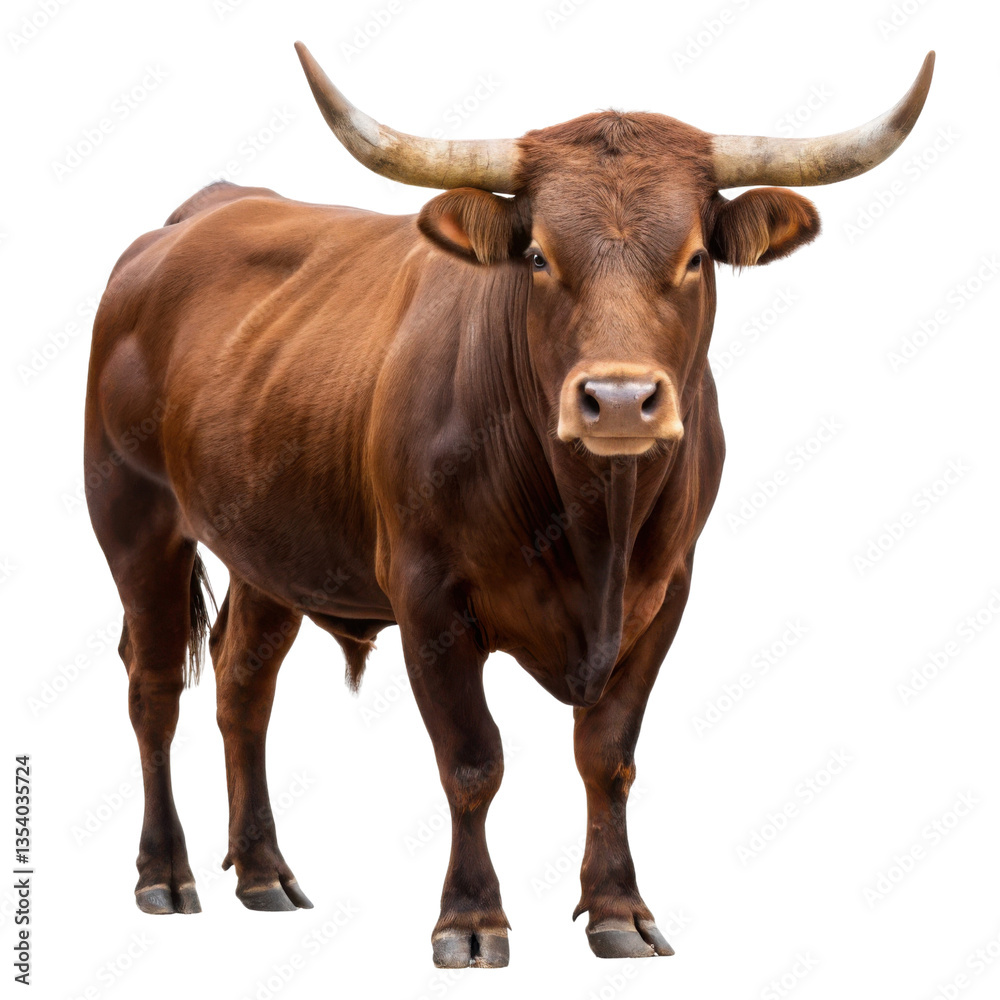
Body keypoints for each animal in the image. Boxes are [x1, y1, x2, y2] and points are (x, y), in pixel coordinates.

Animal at [84, 43, 934, 967]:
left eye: (695, 258)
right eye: (539, 257)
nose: (620, 401)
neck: (595, 527)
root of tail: (199, 213)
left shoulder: (665, 595)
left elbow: (608, 755)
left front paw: (619, 909)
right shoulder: (429, 600)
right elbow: (471, 761)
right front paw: (470, 918)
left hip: (269, 547)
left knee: (243, 686)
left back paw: (264, 872)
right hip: (134, 518)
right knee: (154, 686)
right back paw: (165, 875)